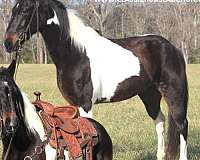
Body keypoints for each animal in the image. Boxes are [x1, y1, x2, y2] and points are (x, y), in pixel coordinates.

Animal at [3, 0, 189, 159]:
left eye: (25, 10)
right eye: (13, 10)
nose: (8, 43)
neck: (75, 52)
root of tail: (172, 48)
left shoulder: (85, 105)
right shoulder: (73, 104)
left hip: (174, 92)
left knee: (181, 125)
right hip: (149, 95)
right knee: (160, 121)